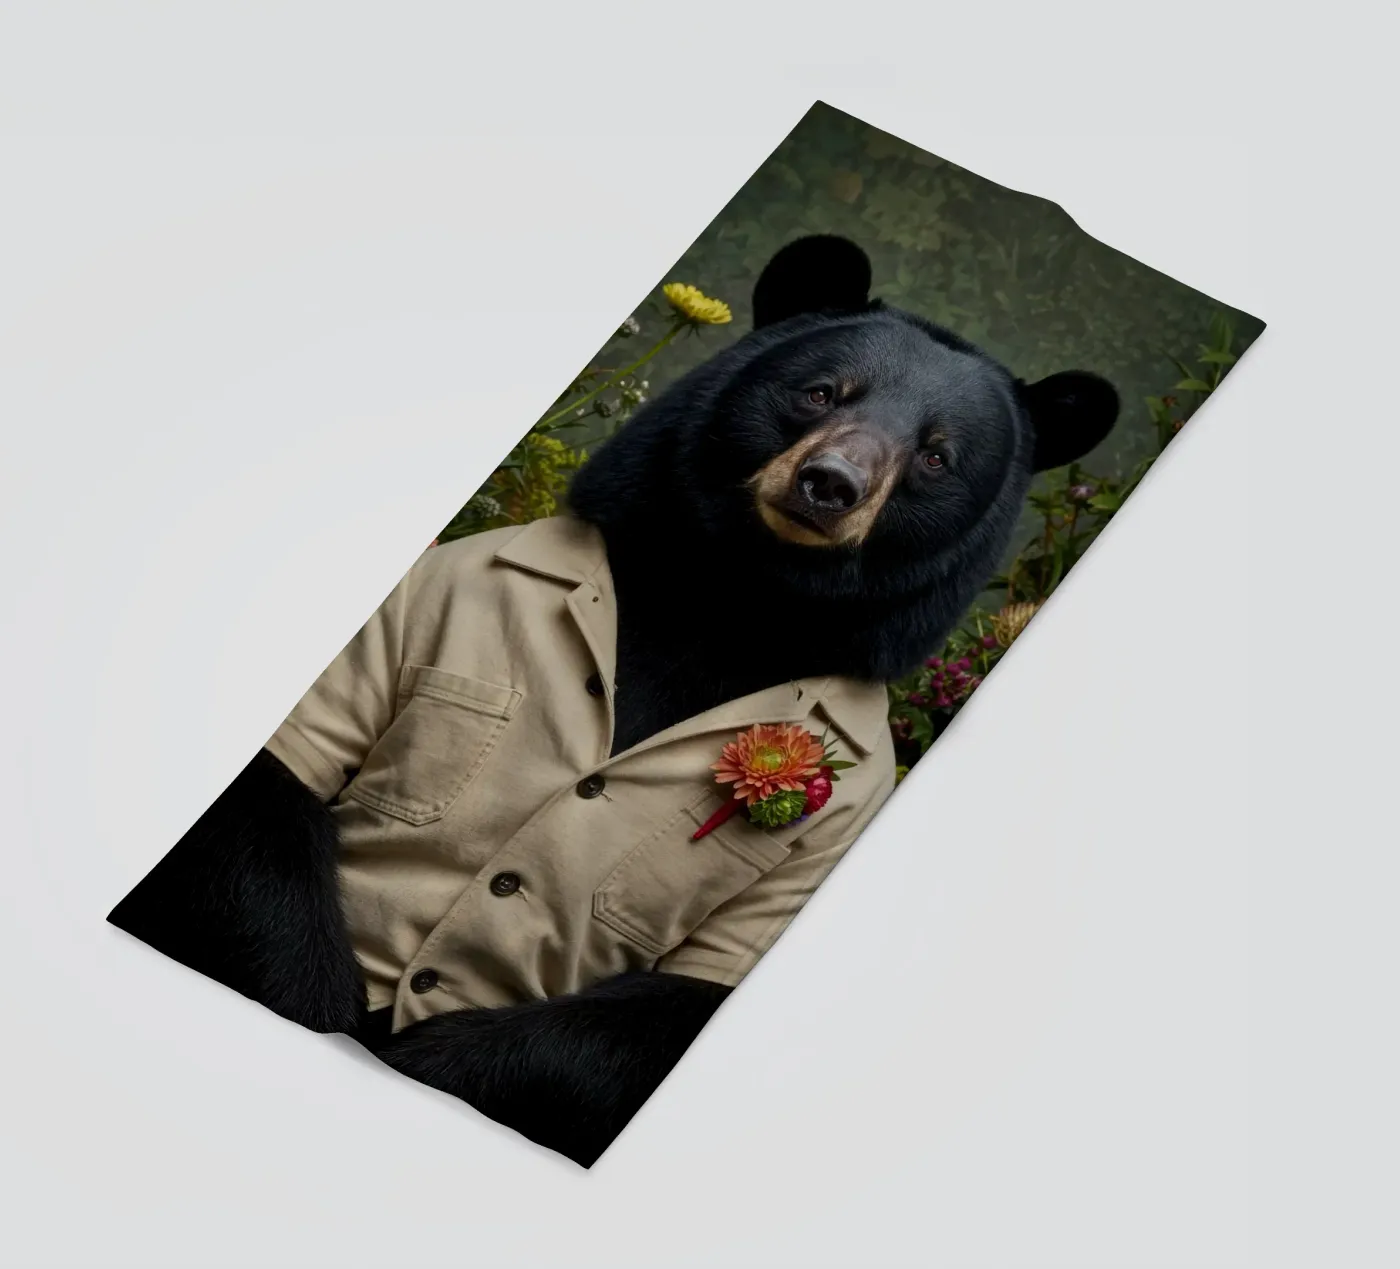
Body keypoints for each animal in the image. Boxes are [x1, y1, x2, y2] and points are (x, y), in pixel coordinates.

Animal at [108, 235, 1118, 1166]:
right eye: (823, 392)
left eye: (938, 455)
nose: (829, 485)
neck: (734, 597)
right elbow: (261, 823)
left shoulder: (846, 810)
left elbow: (653, 1020)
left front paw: (426, 1058)